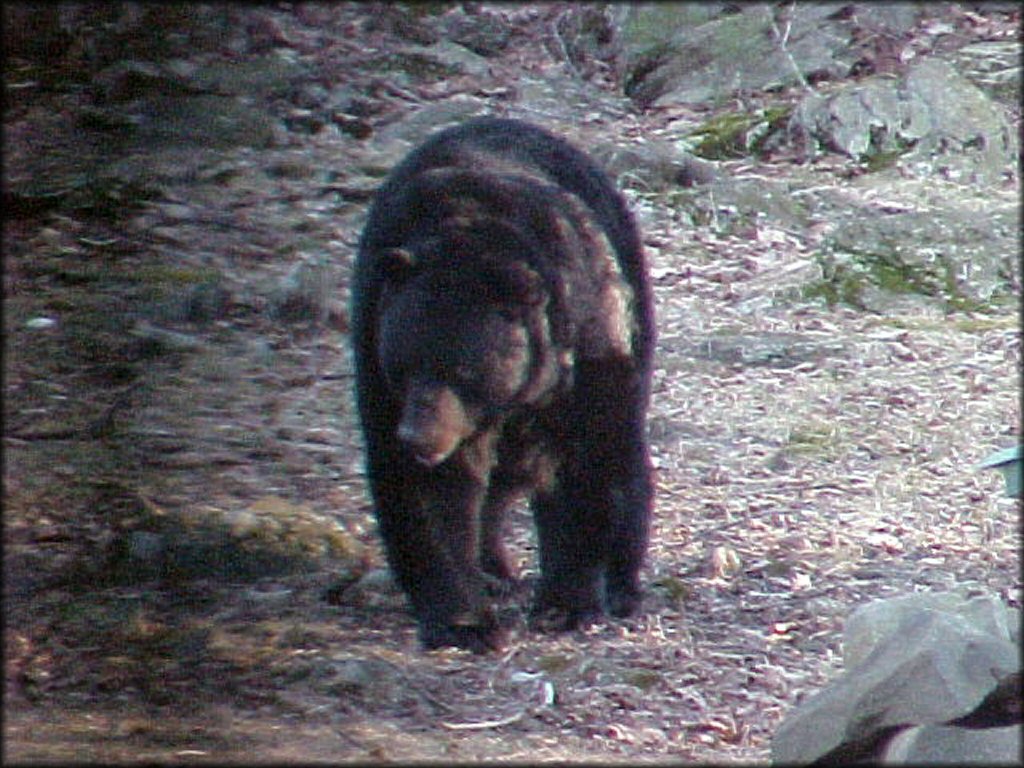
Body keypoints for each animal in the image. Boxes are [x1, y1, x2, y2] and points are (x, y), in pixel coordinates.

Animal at [352, 117, 655, 651]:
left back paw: (622, 585)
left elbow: (585, 465)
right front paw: (463, 621)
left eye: (461, 370)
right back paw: (493, 570)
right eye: (402, 365)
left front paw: (567, 603)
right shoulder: (375, 339)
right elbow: (428, 496)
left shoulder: (585, 338)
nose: (417, 437)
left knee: (624, 455)